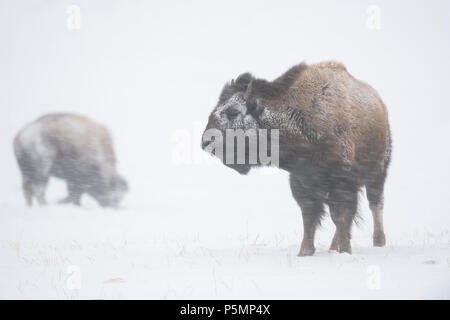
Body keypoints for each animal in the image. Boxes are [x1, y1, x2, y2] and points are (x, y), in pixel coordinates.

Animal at [202, 61, 392, 256]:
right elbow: (309, 217)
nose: (205, 141)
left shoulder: (342, 181)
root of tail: (380, 104)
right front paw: (305, 252)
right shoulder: (302, 181)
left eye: (233, 112)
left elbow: (340, 216)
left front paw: (345, 251)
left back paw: (378, 241)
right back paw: (334, 247)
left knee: (375, 204)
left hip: (378, 172)